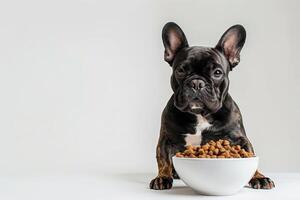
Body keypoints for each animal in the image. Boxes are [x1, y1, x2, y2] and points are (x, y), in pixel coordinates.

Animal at [149, 22, 276, 191]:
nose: (197, 83)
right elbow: (163, 160)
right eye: (181, 70)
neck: (200, 114)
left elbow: (250, 156)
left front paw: (259, 177)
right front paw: (162, 177)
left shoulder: (240, 138)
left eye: (217, 72)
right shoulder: (166, 139)